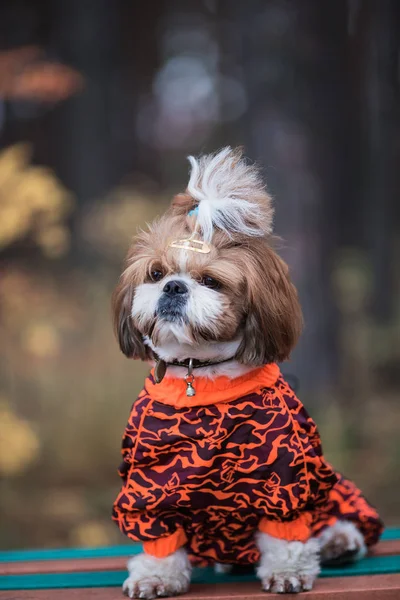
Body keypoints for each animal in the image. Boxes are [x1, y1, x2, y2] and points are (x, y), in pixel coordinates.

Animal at [111, 149, 382, 596]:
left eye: (210, 281)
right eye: (156, 273)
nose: (173, 287)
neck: (201, 377)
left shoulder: (285, 477)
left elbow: (286, 532)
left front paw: (287, 570)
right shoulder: (149, 486)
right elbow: (160, 538)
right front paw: (155, 575)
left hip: (332, 486)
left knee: (335, 517)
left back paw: (339, 541)